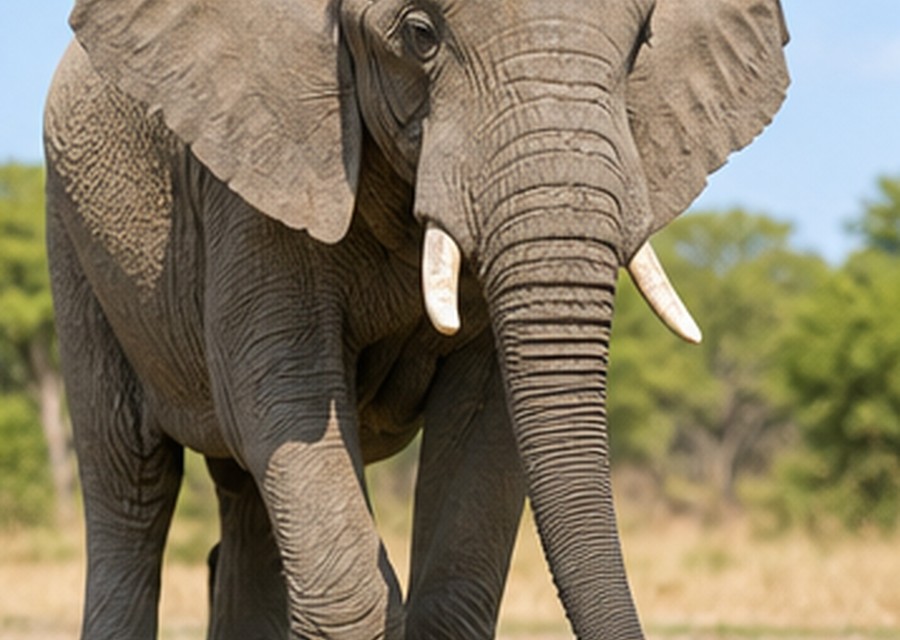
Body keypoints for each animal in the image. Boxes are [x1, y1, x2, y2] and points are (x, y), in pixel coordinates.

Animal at [43, 0, 789, 637]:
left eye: (639, 45)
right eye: (420, 35)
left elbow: (483, 434)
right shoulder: (254, 175)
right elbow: (283, 394)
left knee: (244, 499)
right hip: (75, 239)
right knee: (130, 484)